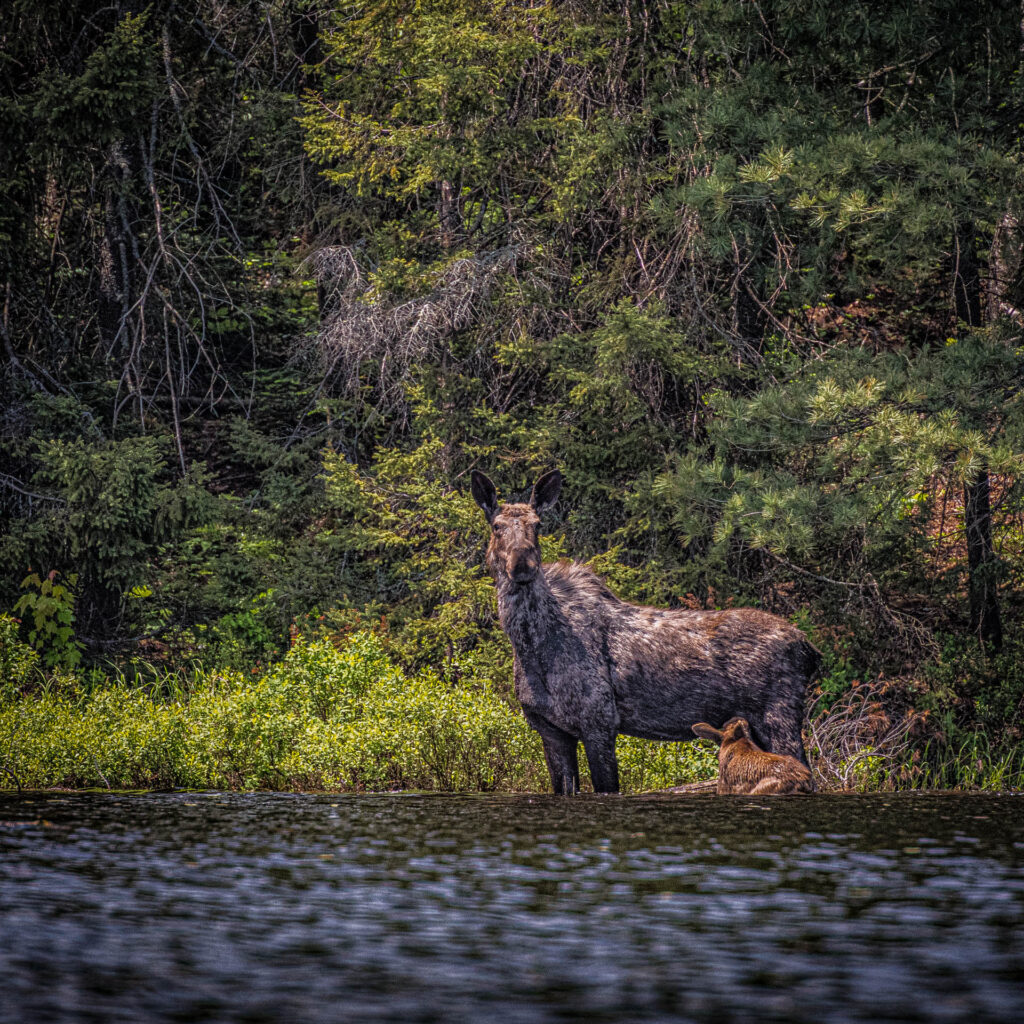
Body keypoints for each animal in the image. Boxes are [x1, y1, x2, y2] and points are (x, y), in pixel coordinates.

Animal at [473, 468, 823, 794]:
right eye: (496, 526)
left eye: (538, 525)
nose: (522, 564)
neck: (532, 649)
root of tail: (810, 649)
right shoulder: (550, 730)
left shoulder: (599, 723)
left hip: (778, 716)